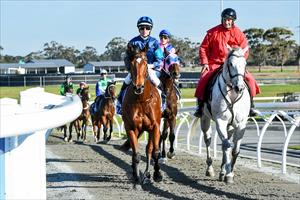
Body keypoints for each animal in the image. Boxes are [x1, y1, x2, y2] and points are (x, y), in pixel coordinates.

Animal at [120, 44, 162, 186]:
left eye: (145, 62)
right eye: (132, 63)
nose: (138, 87)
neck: (141, 100)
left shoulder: (155, 127)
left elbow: (155, 152)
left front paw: (157, 175)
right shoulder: (131, 128)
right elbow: (136, 154)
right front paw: (136, 177)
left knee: (149, 149)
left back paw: (148, 174)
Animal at [202, 46, 251, 184]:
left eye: (245, 64)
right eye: (230, 64)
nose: (239, 87)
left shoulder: (241, 124)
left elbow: (235, 150)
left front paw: (229, 173)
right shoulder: (220, 121)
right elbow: (226, 146)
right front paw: (228, 174)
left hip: (230, 126)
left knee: (227, 141)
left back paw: (223, 170)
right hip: (205, 119)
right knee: (208, 140)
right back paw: (210, 169)